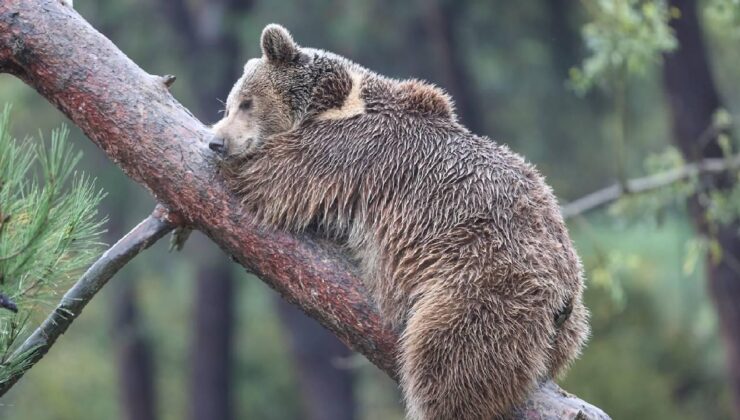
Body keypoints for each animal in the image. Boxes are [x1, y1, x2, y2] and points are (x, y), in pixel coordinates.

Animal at [210, 23, 588, 420]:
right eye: (230, 103)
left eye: (246, 102)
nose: (217, 142)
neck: (334, 102)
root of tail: (563, 293)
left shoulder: (347, 150)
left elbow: (273, 175)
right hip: (566, 324)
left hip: (484, 283)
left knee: (445, 360)